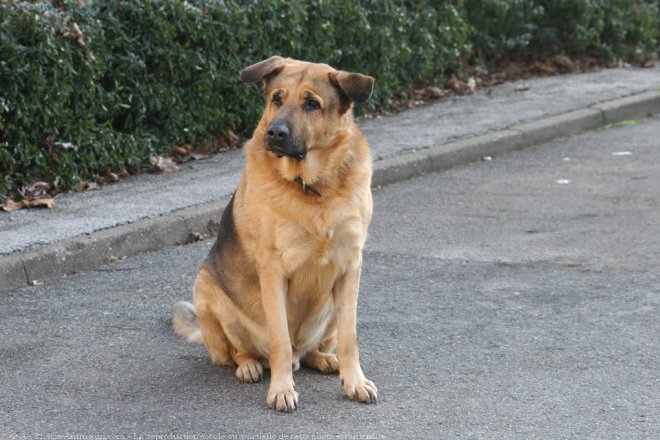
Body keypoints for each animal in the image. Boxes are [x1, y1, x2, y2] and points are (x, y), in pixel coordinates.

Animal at [171, 55, 376, 412]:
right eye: (277, 99)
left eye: (312, 104)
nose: (275, 133)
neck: (313, 187)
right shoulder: (273, 269)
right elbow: (280, 338)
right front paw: (281, 389)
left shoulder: (351, 267)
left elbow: (350, 338)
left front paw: (355, 381)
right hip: (206, 289)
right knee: (242, 352)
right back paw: (250, 366)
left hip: (329, 313)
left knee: (311, 351)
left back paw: (324, 359)